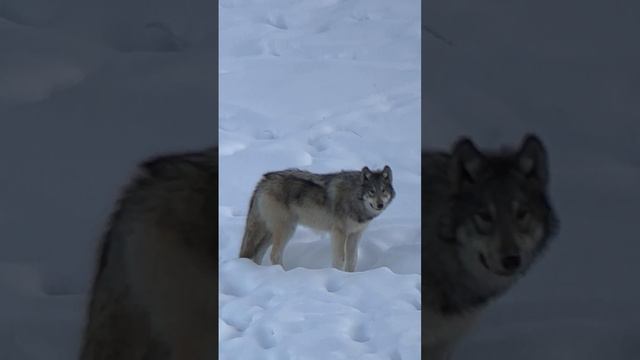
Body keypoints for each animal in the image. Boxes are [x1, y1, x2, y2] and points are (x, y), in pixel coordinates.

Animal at [238, 165, 392, 272]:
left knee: (258, 254)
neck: (354, 197)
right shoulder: (339, 233)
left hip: (271, 233)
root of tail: (264, 180)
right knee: (274, 255)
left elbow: (352, 260)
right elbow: (340, 259)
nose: (380, 204)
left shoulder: (355, 234)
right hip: (286, 230)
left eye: (383, 191)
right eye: (371, 191)